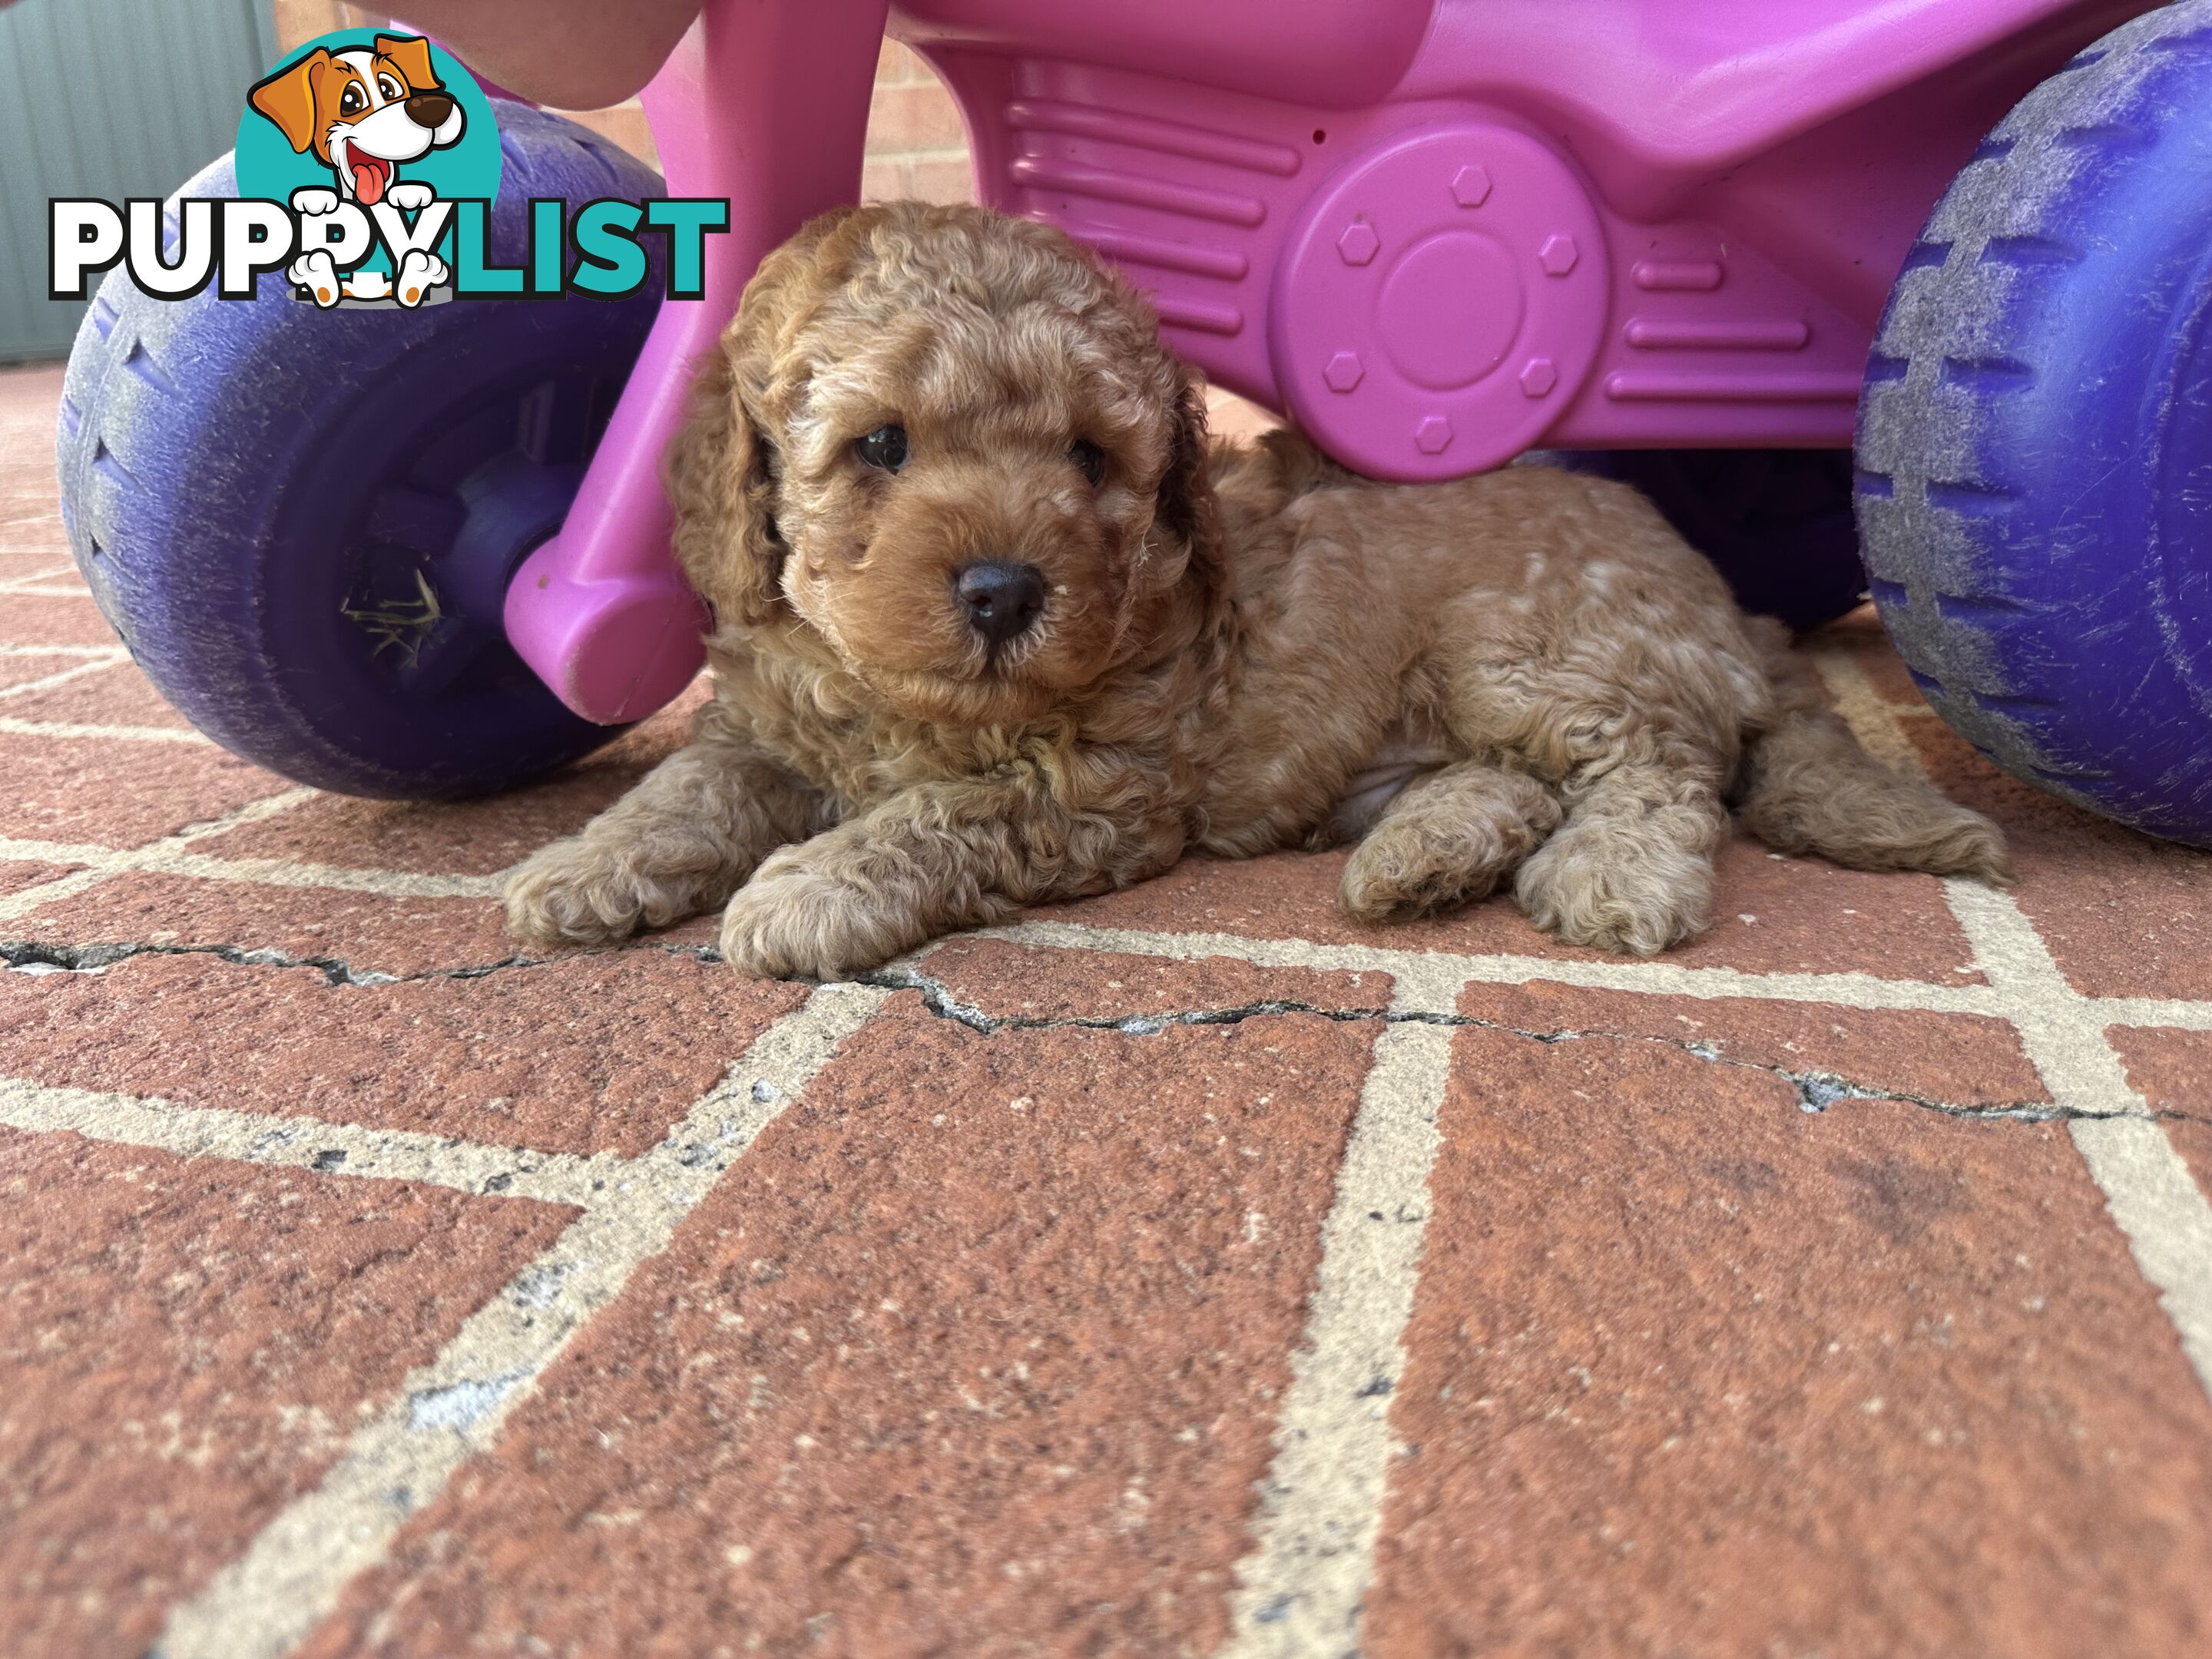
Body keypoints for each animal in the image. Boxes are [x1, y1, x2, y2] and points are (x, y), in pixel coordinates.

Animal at [508, 201, 2017, 982]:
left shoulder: (1095, 790)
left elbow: (934, 817)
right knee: (1519, 778)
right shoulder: (768, 720)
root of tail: (1723, 602)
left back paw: (1608, 875)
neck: (903, 698)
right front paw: (580, 868)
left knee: (1653, 767)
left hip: (1520, 640)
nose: (1002, 591)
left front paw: (809, 886)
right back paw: (1423, 856)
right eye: (881, 446)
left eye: (1089, 457)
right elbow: (690, 783)